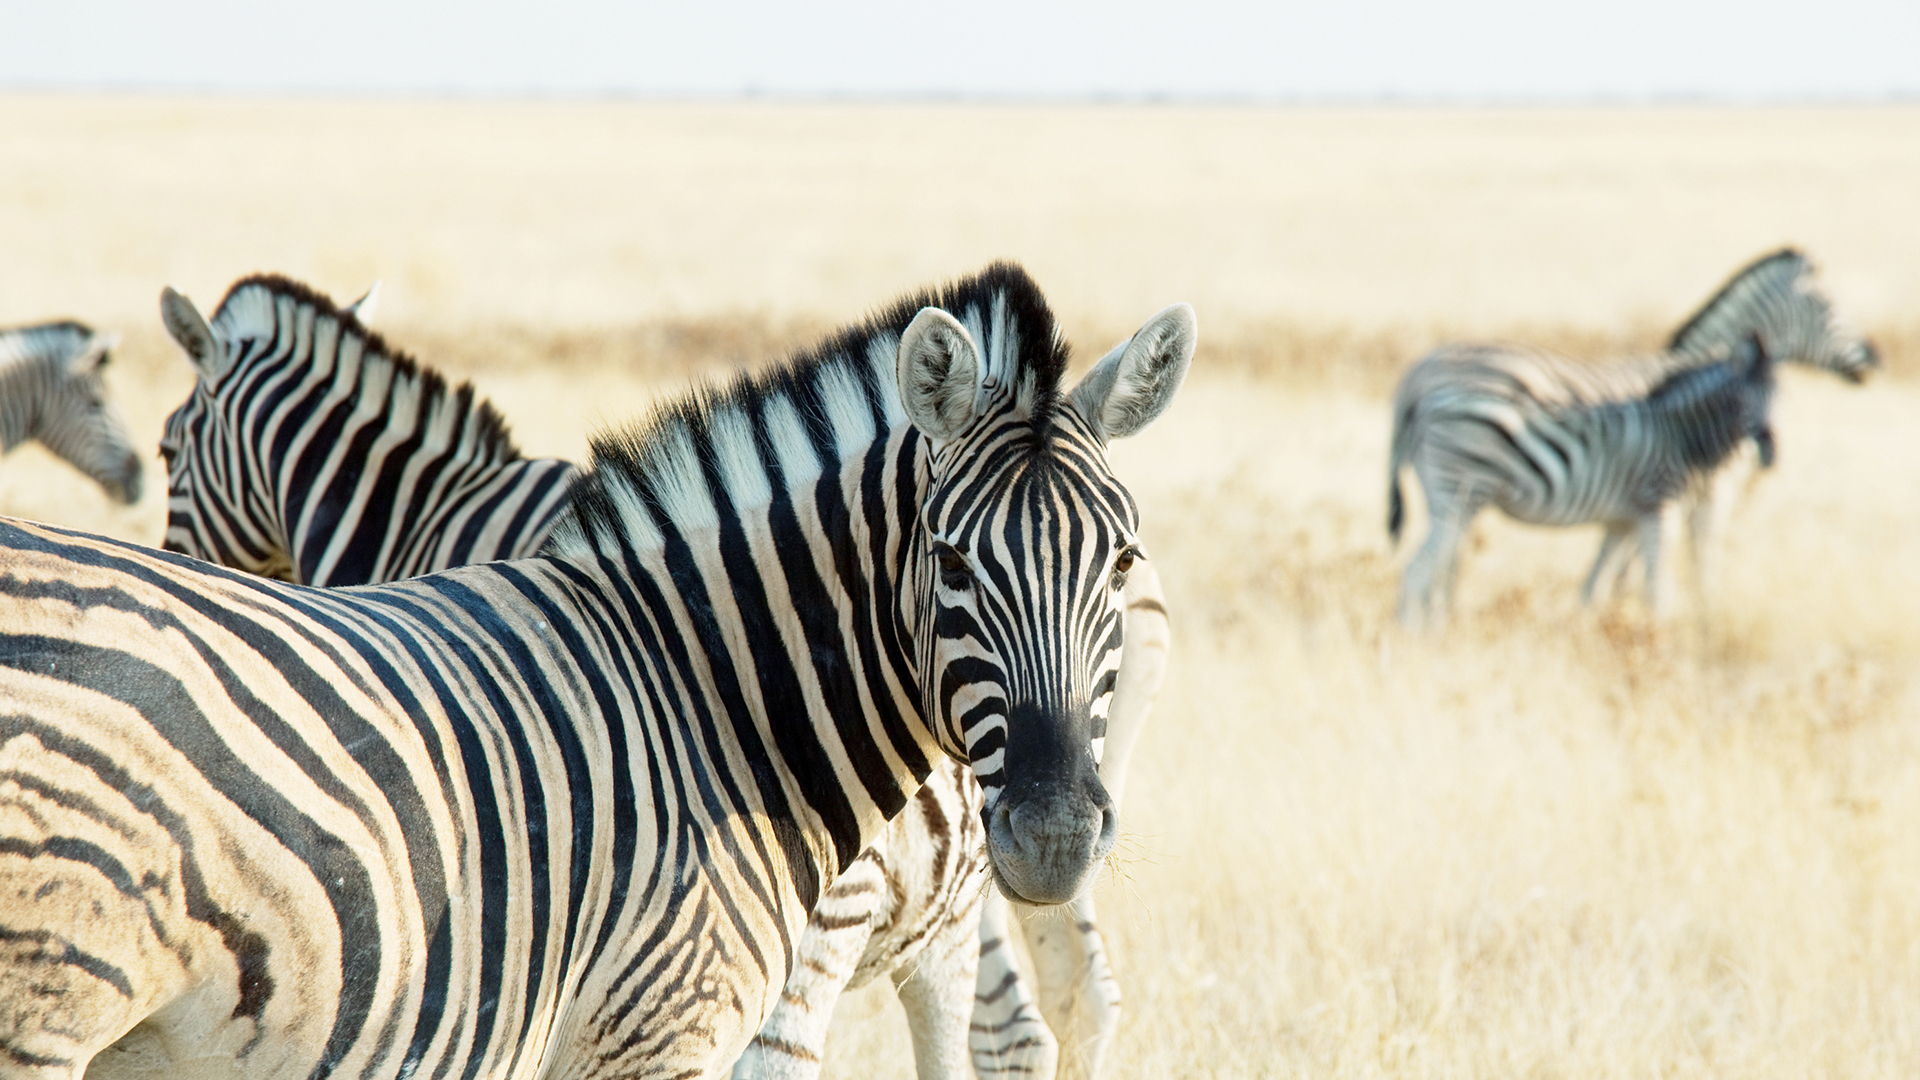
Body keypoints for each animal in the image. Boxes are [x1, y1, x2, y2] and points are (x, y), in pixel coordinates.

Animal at [1393, 333, 1775, 627]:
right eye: (1744, 399)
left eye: (1779, 396)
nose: (1770, 450)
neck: (1680, 432)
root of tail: (1417, 379)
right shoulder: (1661, 504)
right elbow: (1664, 583)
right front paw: (1666, 633)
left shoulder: (1624, 520)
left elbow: (1597, 585)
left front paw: (1590, 631)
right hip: (1458, 495)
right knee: (1416, 572)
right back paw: (1412, 639)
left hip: (1450, 497)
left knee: (1438, 571)